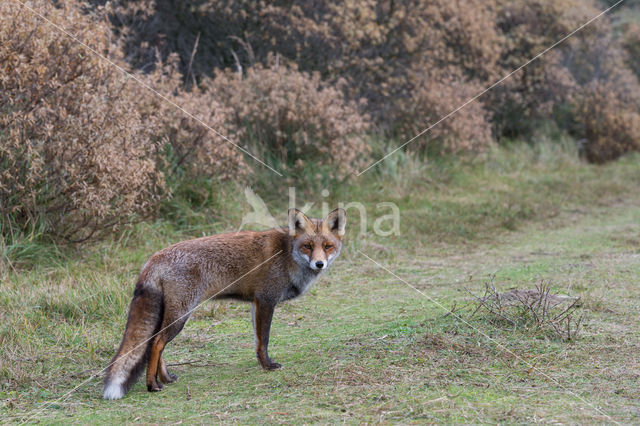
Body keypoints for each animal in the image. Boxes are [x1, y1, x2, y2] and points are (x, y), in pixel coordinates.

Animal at [103, 208, 348, 398]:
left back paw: (165, 377)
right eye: (308, 246)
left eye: (328, 246)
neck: (287, 255)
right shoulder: (266, 300)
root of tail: (153, 258)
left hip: (173, 314)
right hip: (181, 315)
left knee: (155, 342)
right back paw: (152, 384)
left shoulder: (255, 303)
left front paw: (262, 364)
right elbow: (265, 340)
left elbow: (257, 342)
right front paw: (268, 366)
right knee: (156, 343)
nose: (319, 264)